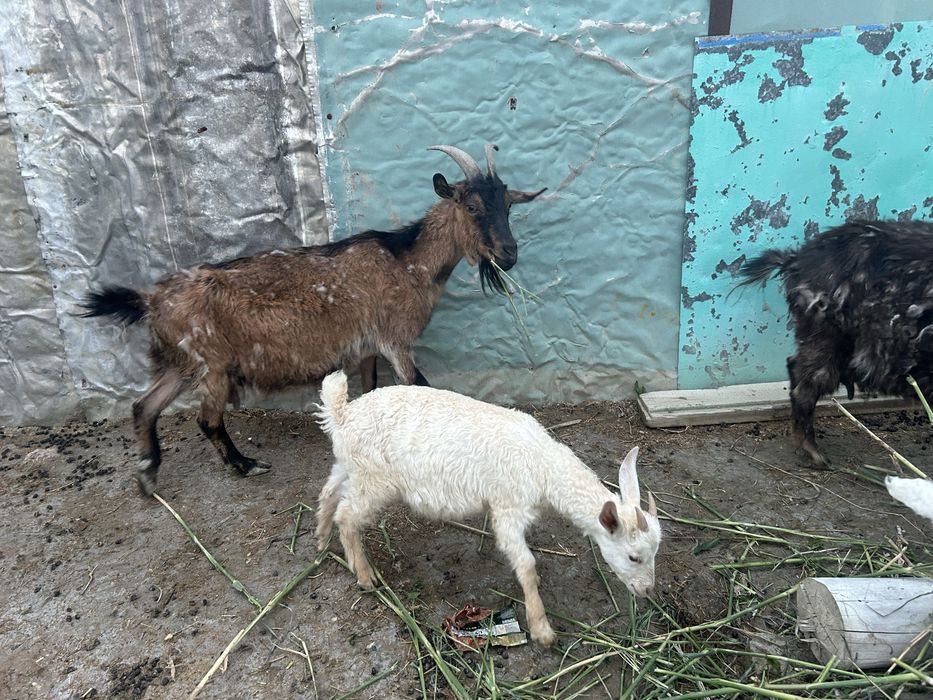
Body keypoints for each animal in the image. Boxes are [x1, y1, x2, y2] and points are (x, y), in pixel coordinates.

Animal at [81, 144, 545, 495]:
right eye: (471, 205)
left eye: (508, 205)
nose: (509, 255)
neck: (406, 260)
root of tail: (151, 299)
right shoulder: (394, 339)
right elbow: (420, 386)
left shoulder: (367, 347)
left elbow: (371, 393)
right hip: (210, 365)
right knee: (206, 420)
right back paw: (245, 465)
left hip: (183, 363)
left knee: (144, 406)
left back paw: (148, 474)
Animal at [314, 370, 662, 646]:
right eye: (634, 557)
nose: (647, 590)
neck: (542, 464)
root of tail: (342, 414)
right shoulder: (507, 507)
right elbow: (526, 564)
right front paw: (541, 628)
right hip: (374, 479)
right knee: (347, 516)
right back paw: (364, 575)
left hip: (350, 465)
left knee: (329, 493)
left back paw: (320, 539)